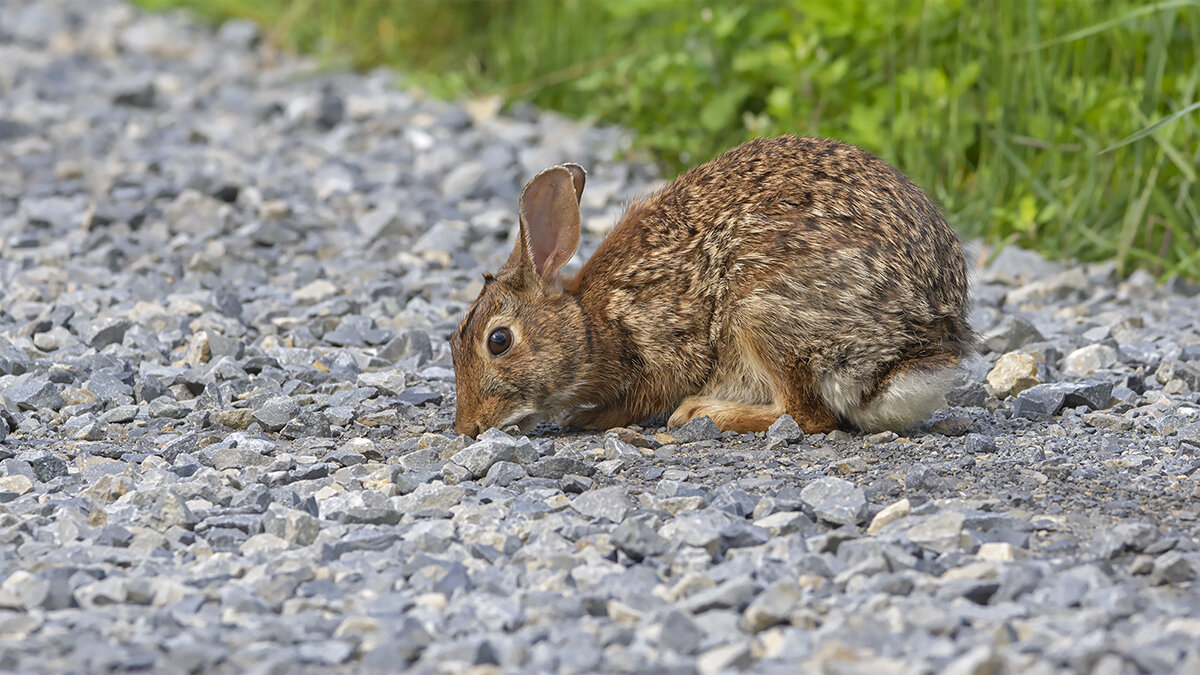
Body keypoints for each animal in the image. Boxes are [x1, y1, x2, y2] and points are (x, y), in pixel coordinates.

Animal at [451, 133, 974, 437]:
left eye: (498, 341)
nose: (467, 428)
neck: (589, 323)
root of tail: (910, 353)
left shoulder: (661, 341)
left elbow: (641, 399)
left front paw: (585, 418)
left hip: (762, 314)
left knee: (809, 416)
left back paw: (701, 413)